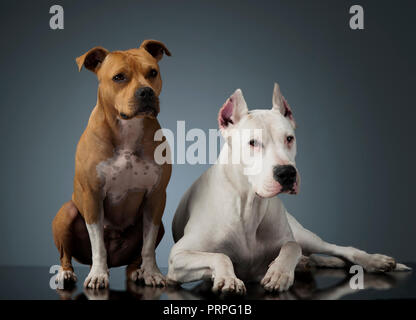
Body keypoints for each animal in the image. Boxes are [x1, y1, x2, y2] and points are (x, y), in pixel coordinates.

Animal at [52, 38, 172, 288]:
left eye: (152, 73)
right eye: (119, 77)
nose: (146, 92)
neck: (128, 129)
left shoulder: (156, 197)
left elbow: (148, 246)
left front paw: (153, 273)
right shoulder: (92, 195)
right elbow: (97, 244)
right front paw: (98, 274)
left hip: (156, 225)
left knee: (136, 256)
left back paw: (138, 272)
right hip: (67, 212)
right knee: (65, 254)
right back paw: (66, 273)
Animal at [167, 84, 412, 294]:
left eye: (289, 138)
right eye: (253, 143)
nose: (286, 173)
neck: (249, 204)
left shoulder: (288, 239)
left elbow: (291, 247)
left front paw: (279, 273)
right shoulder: (178, 257)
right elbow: (220, 256)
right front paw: (228, 279)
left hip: (306, 235)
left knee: (338, 250)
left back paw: (374, 260)